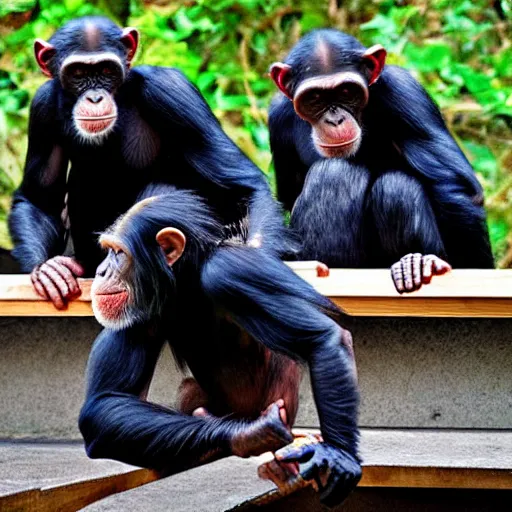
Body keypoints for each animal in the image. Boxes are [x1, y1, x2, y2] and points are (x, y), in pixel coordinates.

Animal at [9, 17, 284, 308]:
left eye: (106, 70)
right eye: (78, 74)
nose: (94, 97)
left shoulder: (171, 89)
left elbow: (242, 184)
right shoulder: (41, 107)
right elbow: (39, 198)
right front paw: (47, 270)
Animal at [79, 185, 360, 508]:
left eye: (120, 253)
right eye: (108, 249)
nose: (101, 270)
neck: (186, 278)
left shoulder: (229, 272)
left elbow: (323, 339)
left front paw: (339, 456)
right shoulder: (137, 307)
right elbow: (106, 401)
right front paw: (248, 433)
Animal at [270, 29, 494, 292]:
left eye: (347, 91)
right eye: (314, 97)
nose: (335, 119)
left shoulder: (405, 92)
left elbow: (454, 185)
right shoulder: (277, 117)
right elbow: (287, 198)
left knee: (395, 187)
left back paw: (416, 264)